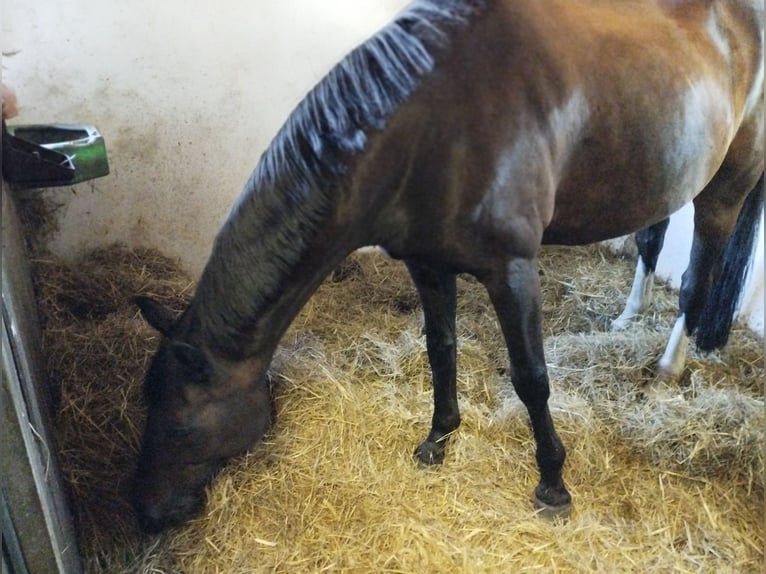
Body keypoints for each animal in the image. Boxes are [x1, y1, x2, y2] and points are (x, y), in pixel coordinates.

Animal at [130, 0, 760, 536]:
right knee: (651, 239)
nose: (149, 513)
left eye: (179, 424)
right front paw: (439, 437)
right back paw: (628, 318)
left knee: (696, 281)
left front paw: (553, 485)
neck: (432, 130)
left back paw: (667, 370)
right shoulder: (428, 264)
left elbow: (531, 378)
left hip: (727, 184)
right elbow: (441, 348)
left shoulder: (512, 271)